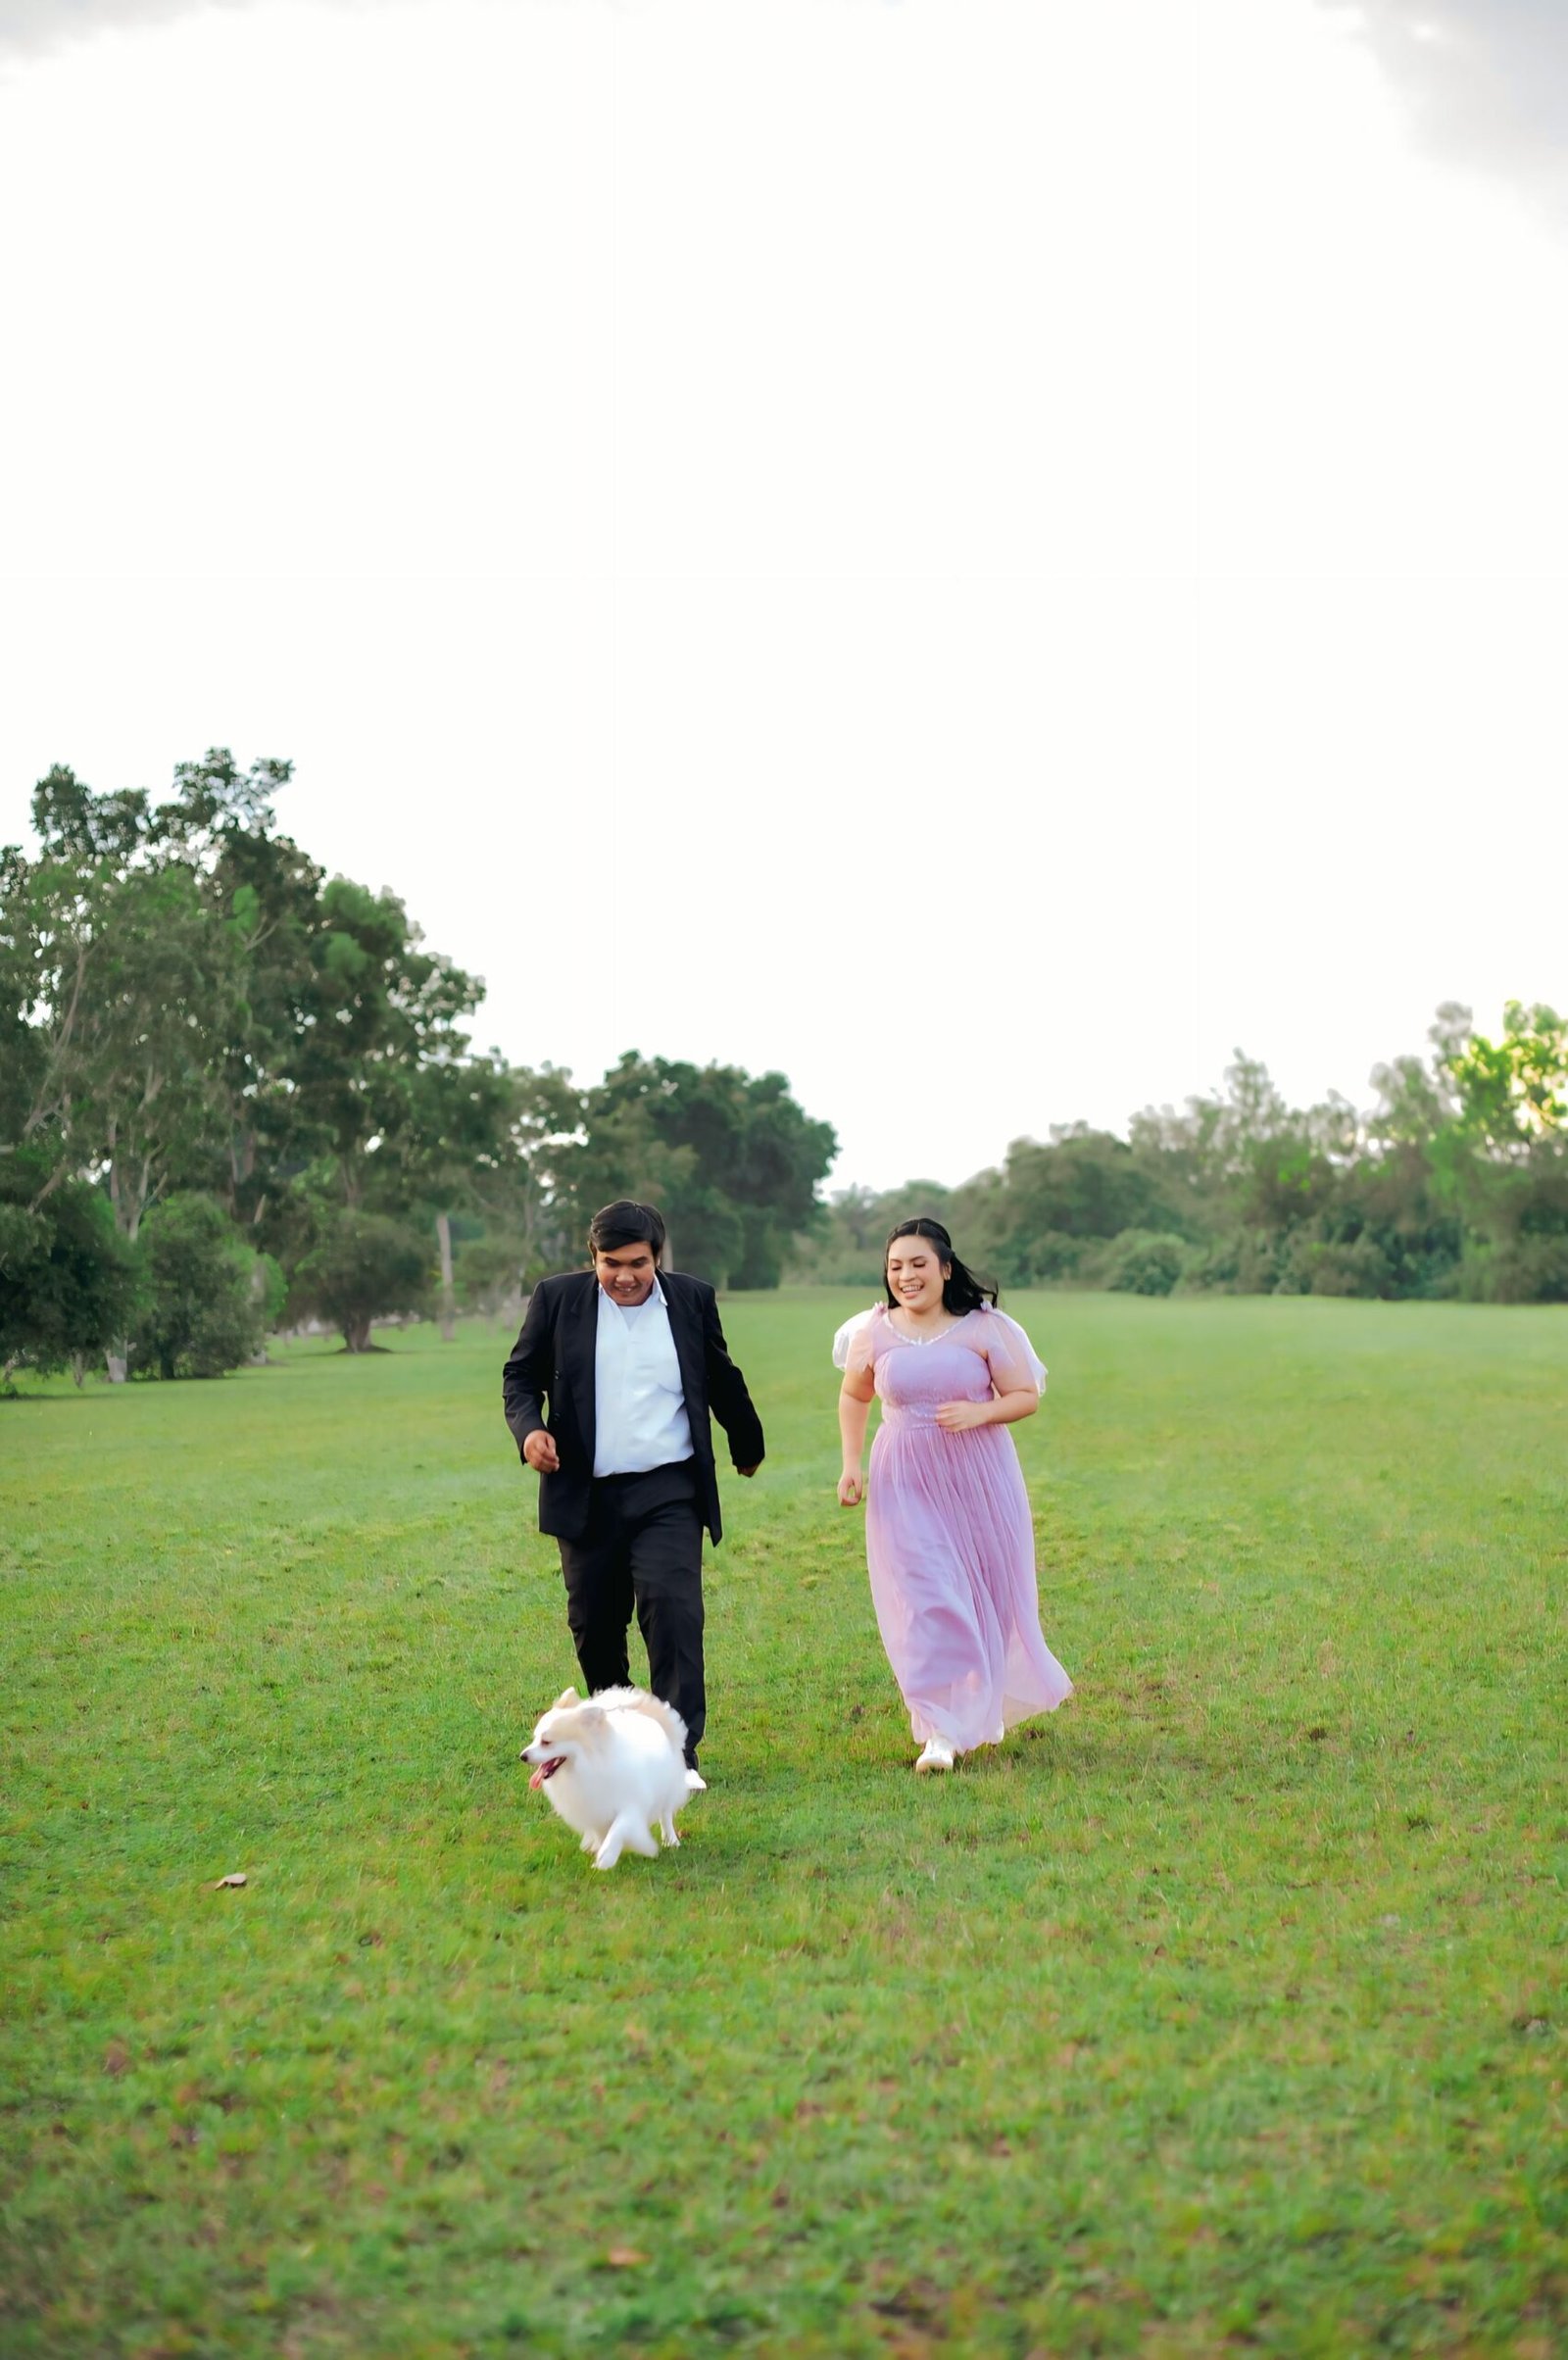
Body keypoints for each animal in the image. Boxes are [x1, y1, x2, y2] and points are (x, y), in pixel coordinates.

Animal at [521, 1686, 705, 1870]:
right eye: (535, 1739)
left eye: (546, 1742)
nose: (523, 1756)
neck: (590, 1763)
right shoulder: (595, 1809)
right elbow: (601, 1832)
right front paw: (601, 1850)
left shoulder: (631, 1805)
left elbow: (618, 1830)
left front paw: (605, 1858)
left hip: (667, 1787)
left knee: (665, 1814)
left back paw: (671, 1840)